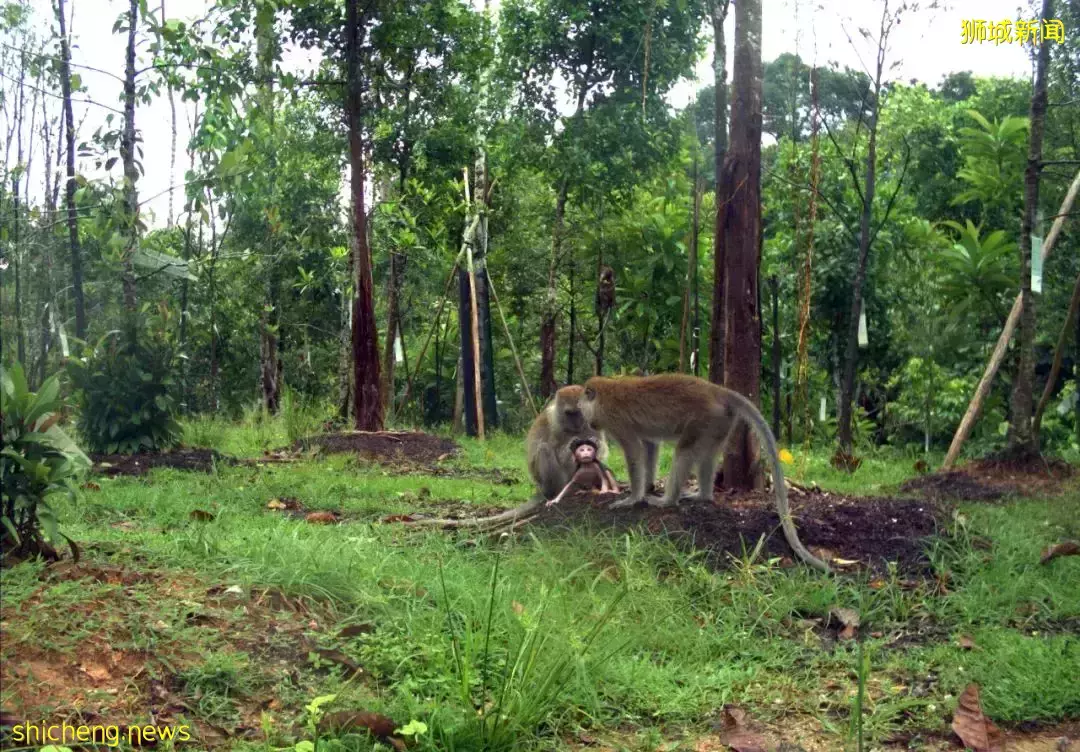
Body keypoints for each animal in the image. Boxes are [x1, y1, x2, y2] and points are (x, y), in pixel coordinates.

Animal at [578, 373, 829, 574]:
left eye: (580, 408)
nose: (587, 422)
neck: (605, 392)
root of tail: (716, 390)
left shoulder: (615, 420)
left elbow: (634, 451)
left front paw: (632, 498)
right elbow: (649, 446)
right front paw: (646, 486)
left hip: (706, 417)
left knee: (684, 450)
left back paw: (668, 501)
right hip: (720, 422)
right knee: (706, 456)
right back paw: (703, 496)